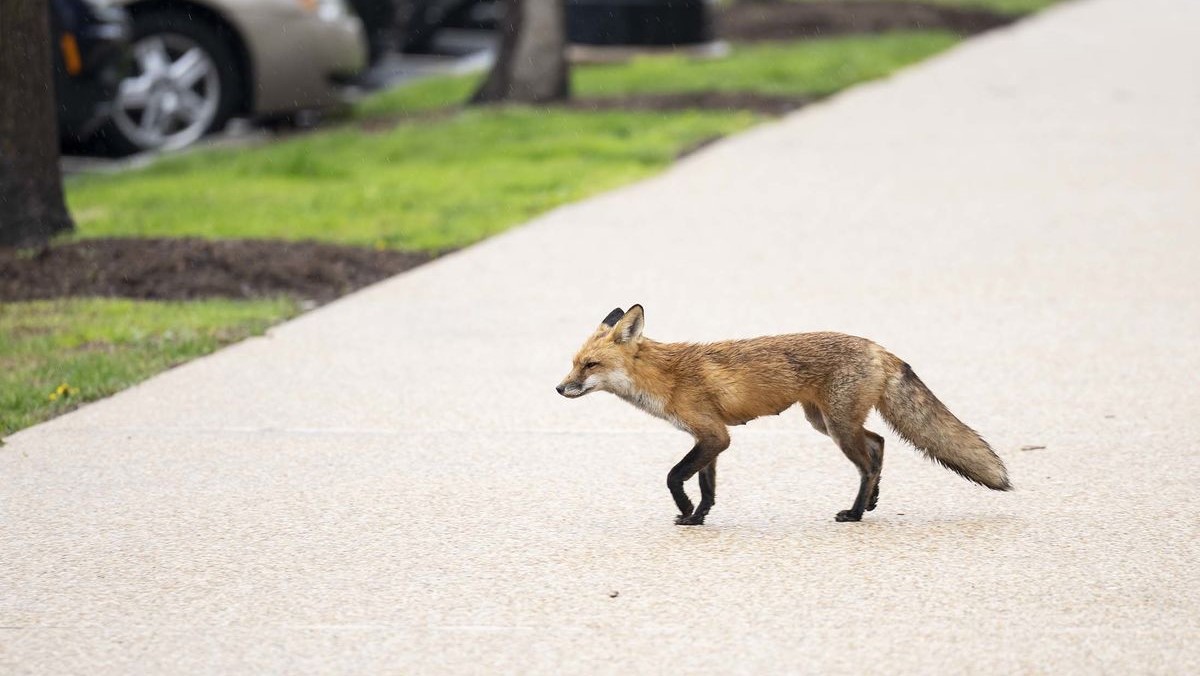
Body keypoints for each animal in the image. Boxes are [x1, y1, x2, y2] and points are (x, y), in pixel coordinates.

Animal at [556, 303, 1008, 525]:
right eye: (574, 363)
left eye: (590, 366)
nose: (559, 389)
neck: (665, 376)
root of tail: (880, 348)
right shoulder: (710, 438)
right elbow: (707, 486)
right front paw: (698, 517)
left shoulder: (713, 435)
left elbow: (674, 477)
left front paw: (685, 512)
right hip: (825, 422)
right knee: (878, 444)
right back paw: (872, 502)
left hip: (837, 427)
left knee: (867, 461)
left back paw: (855, 513)